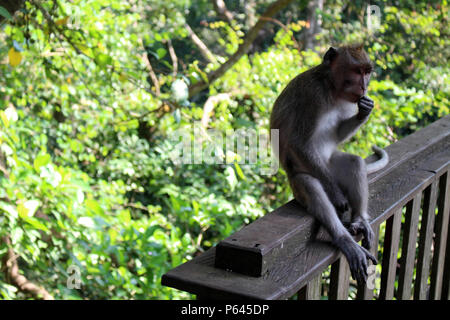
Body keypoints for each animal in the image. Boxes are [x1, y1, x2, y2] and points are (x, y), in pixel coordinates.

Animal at [268, 43, 388, 284]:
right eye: (357, 71)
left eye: (367, 72)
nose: (364, 86)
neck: (332, 89)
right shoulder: (312, 96)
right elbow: (299, 142)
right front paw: (337, 195)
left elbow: (337, 133)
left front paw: (364, 111)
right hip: (306, 174)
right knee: (310, 184)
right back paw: (344, 238)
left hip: (329, 165)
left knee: (354, 163)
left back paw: (360, 219)